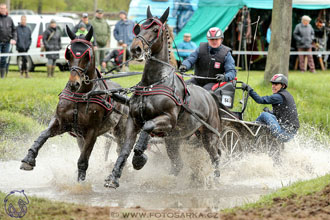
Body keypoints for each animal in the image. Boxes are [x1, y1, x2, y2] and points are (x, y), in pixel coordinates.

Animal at [19, 25, 129, 181]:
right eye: (69, 54)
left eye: (87, 55)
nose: (74, 84)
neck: (80, 96)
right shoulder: (62, 122)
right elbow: (43, 134)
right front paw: (29, 158)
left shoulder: (92, 131)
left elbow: (83, 160)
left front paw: (80, 182)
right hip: (80, 136)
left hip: (120, 130)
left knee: (121, 147)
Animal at [104, 7, 223, 189]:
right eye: (139, 28)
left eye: (155, 29)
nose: (135, 49)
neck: (152, 84)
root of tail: (209, 96)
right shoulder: (133, 120)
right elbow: (125, 149)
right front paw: (114, 177)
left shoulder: (168, 120)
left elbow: (147, 127)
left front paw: (139, 158)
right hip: (174, 140)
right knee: (177, 164)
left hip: (209, 135)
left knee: (215, 156)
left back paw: (215, 181)